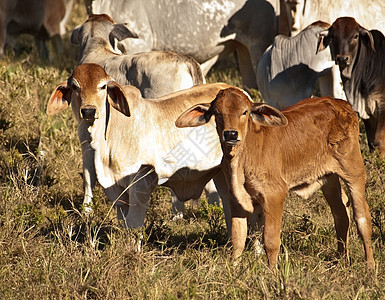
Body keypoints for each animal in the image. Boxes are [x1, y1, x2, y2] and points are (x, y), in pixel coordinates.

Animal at [176, 87, 374, 270]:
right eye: (217, 113)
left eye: (245, 112)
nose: (230, 134)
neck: (241, 158)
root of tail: (340, 103)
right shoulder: (235, 198)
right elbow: (238, 239)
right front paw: (233, 269)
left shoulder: (274, 195)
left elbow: (270, 240)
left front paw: (272, 272)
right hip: (329, 178)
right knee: (341, 215)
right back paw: (341, 259)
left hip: (354, 171)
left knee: (362, 218)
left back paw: (369, 265)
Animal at [318, 17, 385, 157]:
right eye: (333, 36)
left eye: (355, 36)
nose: (342, 59)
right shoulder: (366, 112)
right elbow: (372, 142)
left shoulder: (382, 106)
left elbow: (379, 141)